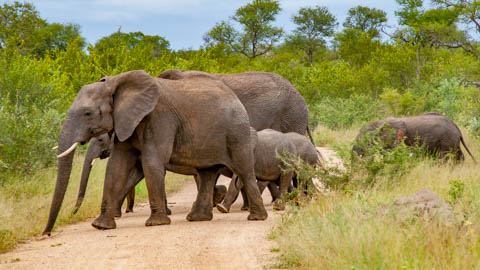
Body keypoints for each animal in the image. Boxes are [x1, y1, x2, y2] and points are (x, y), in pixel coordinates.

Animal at [42, 70, 266, 236]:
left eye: (88, 113)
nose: (47, 233)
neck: (116, 83)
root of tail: (235, 97)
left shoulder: (159, 118)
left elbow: (152, 162)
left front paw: (156, 223)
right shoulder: (126, 122)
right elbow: (116, 166)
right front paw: (101, 226)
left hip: (237, 132)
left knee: (244, 171)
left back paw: (257, 217)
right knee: (207, 174)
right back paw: (197, 218)